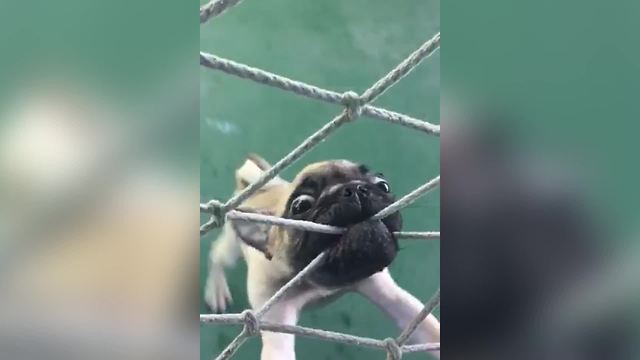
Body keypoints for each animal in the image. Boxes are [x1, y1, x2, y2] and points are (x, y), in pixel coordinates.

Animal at [205, 155, 440, 360]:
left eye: (383, 185)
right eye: (300, 205)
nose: (354, 189)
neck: (319, 283)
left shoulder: (391, 296)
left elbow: (429, 328)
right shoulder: (276, 321)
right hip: (231, 248)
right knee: (217, 257)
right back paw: (215, 289)